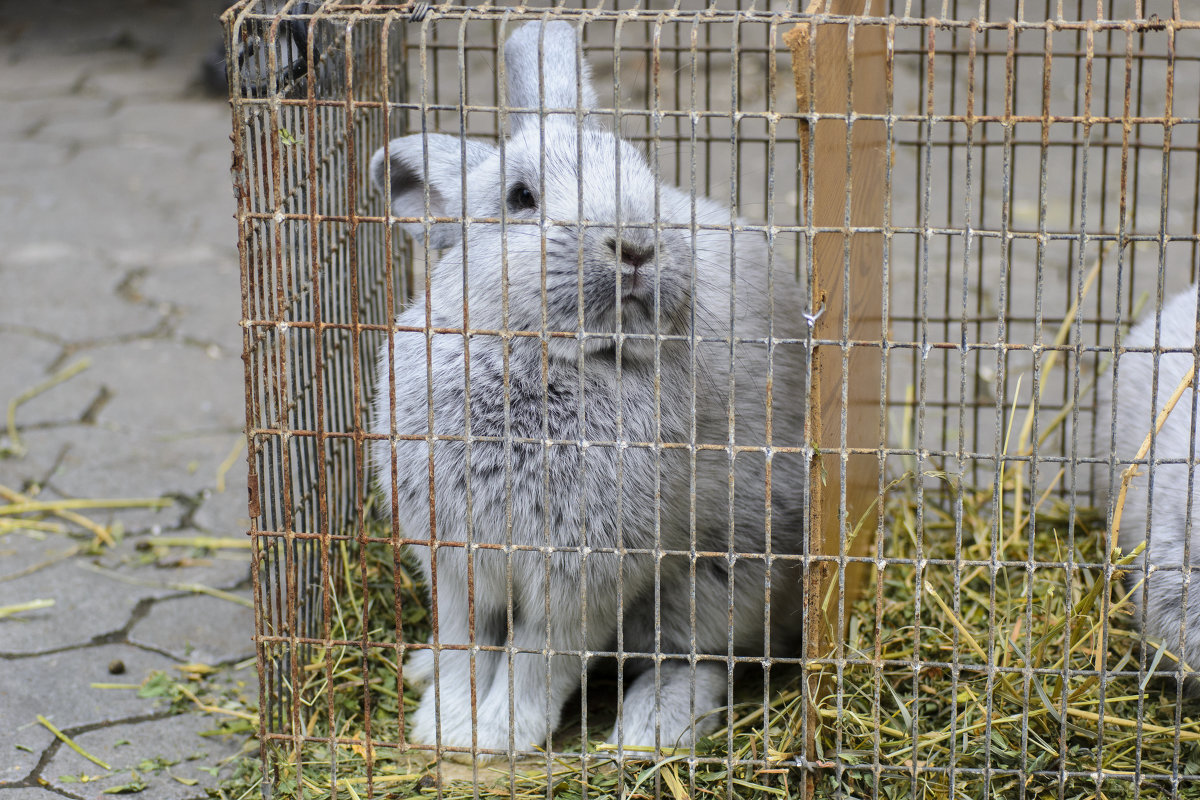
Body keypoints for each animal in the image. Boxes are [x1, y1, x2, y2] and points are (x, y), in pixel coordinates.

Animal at [369, 20, 811, 758]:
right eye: (520, 197)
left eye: (643, 173)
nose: (635, 245)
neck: (547, 358)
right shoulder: (458, 565)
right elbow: (467, 647)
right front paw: (446, 727)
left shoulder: (582, 577)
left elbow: (537, 660)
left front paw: (499, 735)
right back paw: (420, 667)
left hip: (723, 577)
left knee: (704, 658)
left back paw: (651, 728)